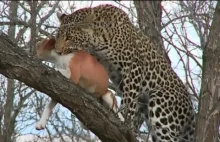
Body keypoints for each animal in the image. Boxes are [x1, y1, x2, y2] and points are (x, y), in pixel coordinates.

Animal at [54, 4, 195, 142]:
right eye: (57, 36)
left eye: (69, 38)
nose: (57, 51)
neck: (98, 39)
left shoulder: (133, 69)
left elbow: (129, 101)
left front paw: (125, 123)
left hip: (160, 104)